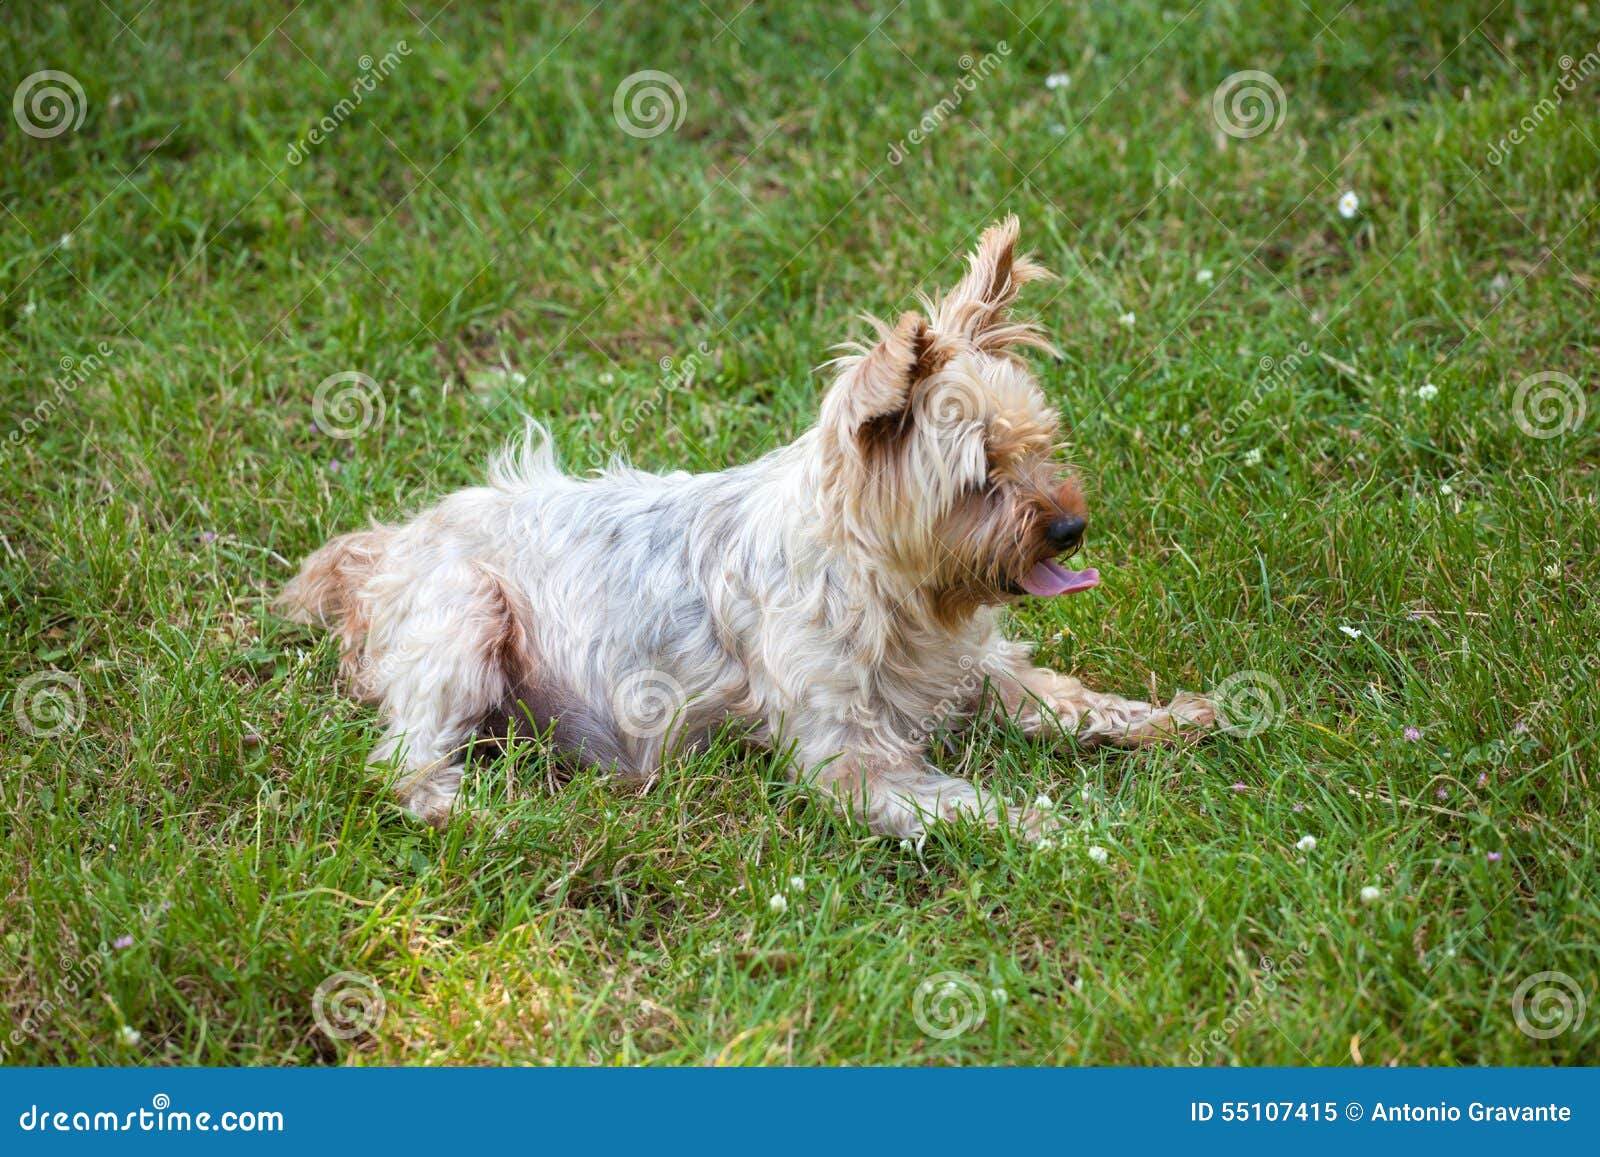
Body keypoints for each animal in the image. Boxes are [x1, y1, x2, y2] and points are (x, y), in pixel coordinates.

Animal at [281, 214, 1216, 844]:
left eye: (1040, 446)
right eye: (980, 480)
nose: (1071, 527)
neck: (886, 583)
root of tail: (386, 546)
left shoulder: (977, 667)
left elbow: (1057, 695)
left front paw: (1165, 717)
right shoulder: (848, 755)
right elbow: (961, 801)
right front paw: (1064, 829)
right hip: (467, 614)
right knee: (402, 764)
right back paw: (477, 811)